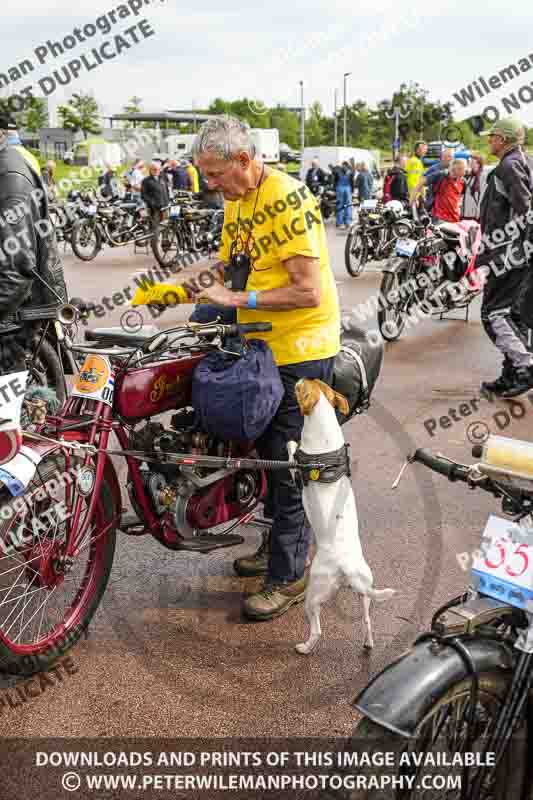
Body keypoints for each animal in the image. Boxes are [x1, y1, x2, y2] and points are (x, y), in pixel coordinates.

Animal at [286, 378, 394, 652]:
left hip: (314, 595)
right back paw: (368, 643)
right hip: (365, 591)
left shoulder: (296, 467)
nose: (299, 377)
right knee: (367, 620)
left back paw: (305, 648)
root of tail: (346, 568)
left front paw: (290, 443)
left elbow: (291, 449)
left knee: (317, 630)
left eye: (300, 388)